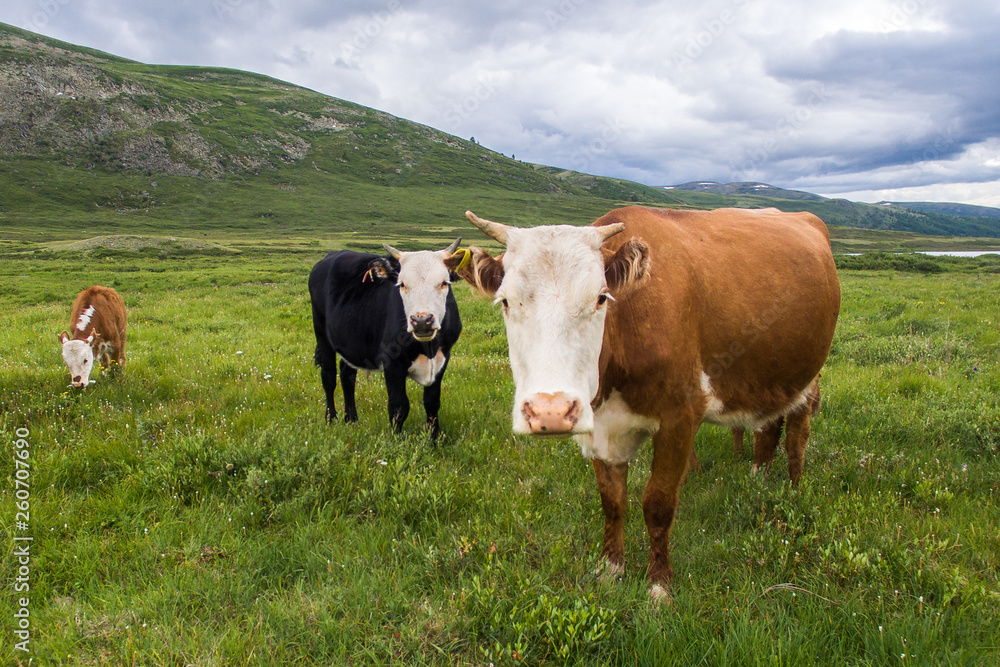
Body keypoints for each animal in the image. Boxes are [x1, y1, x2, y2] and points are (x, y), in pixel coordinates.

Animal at [308, 240, 464, 438]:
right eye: (402, 284)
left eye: (444, 283)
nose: (421, 320)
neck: (427, 347)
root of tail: (331, 256)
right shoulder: (392, 363)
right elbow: (399, 406)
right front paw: (396, 440)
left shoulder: (442, 358)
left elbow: (432, 402)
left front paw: (434, 438)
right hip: (321, 331)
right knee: (328, 377)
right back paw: (331, 419)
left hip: (351, 341)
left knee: (347, 375)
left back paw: (352, 420)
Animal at [458, 205, 840, 600]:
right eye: (505, 301)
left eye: (601, 298)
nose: (551, 411)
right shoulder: (599, 429)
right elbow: (612, 501)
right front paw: (610, 567)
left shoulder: (679, 418)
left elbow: (658, 503)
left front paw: (659, 584)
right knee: (767, 429)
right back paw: (758, 481)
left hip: (810, 375)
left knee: (797, 434)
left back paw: (793, 489)